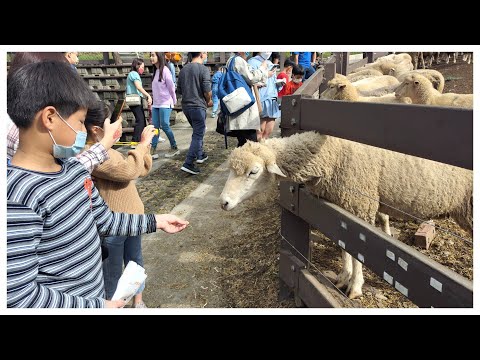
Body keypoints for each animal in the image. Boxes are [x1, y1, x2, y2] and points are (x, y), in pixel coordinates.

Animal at [220, 131, 472, 298]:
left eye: (253, 172)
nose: (223, 202)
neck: (330, 153)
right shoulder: (341, 208)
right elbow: (343, 246)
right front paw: (343, 276)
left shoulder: (360, 206)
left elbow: (358, 251)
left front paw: (355, 286)